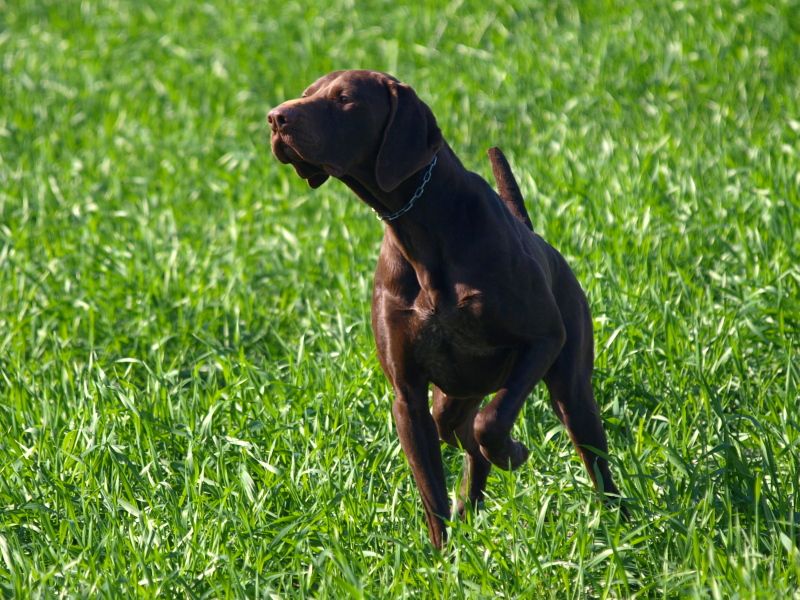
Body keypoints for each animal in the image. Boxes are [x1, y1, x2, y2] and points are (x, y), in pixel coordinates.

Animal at [268, 70, 624, 548]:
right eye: (307, 93)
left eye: (345, 99)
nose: (275, 118)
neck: (421, 225)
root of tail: (539, 240)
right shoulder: (409, 398)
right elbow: (432, 492)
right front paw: (444, 556)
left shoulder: (543, 339)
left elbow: (492, 422)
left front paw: (513, 452)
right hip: (452, 399)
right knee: (462, 437)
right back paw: (468, 508)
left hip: (571, 388)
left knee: (588, 460)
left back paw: (624, 524)